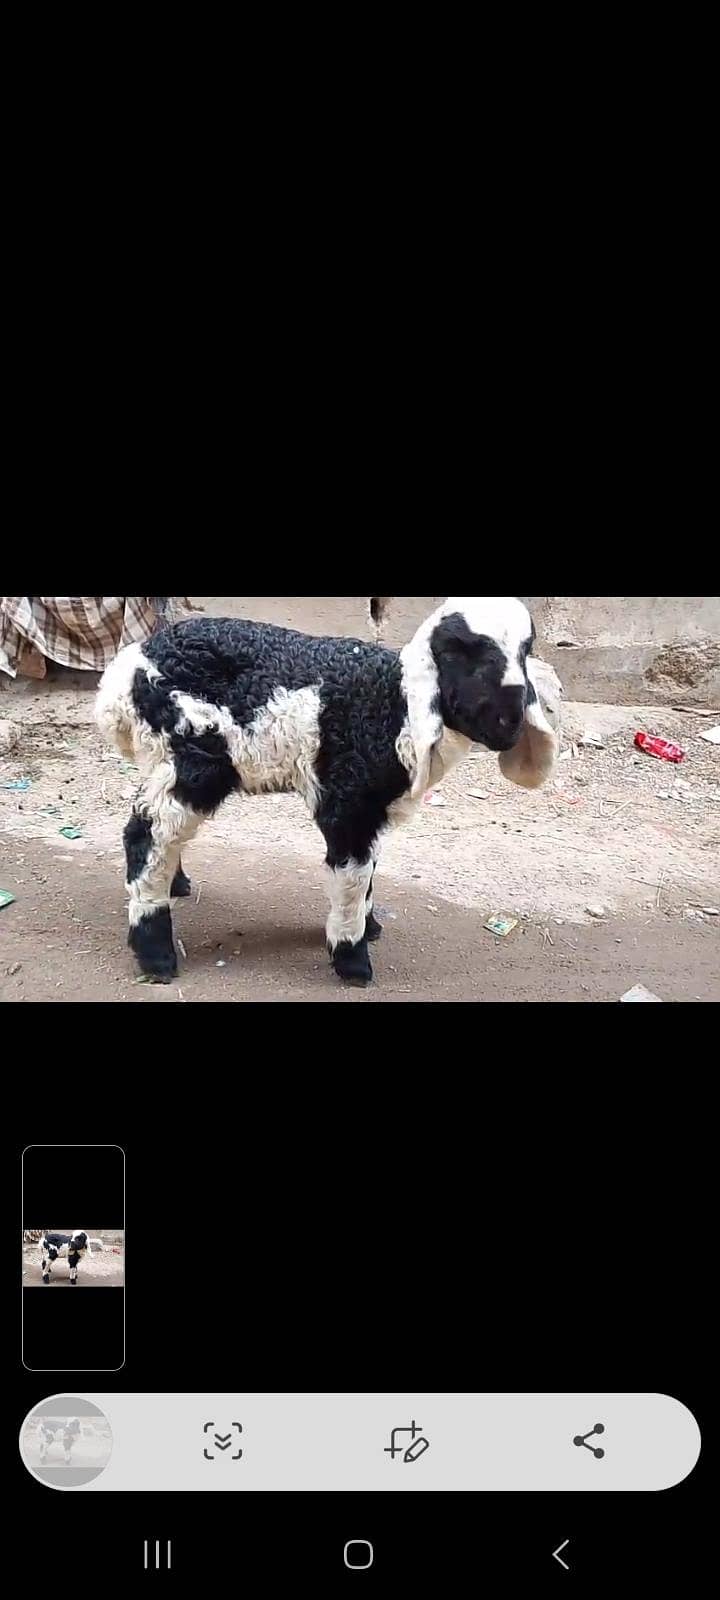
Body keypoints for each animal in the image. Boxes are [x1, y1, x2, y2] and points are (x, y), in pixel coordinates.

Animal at [96, 597, 560, 988]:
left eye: (525, 651)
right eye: (457, 651)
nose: (509, 723)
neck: (391, 703)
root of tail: (125, 672)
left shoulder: (372, 810)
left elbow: (370, 870)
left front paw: (370, 928)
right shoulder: (348, 801)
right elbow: (353, 878)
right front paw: (352, 959)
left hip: (167, 757)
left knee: (162, 832)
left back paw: (176, 885)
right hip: (193, 752)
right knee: (146, 835)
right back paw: (155, 954)